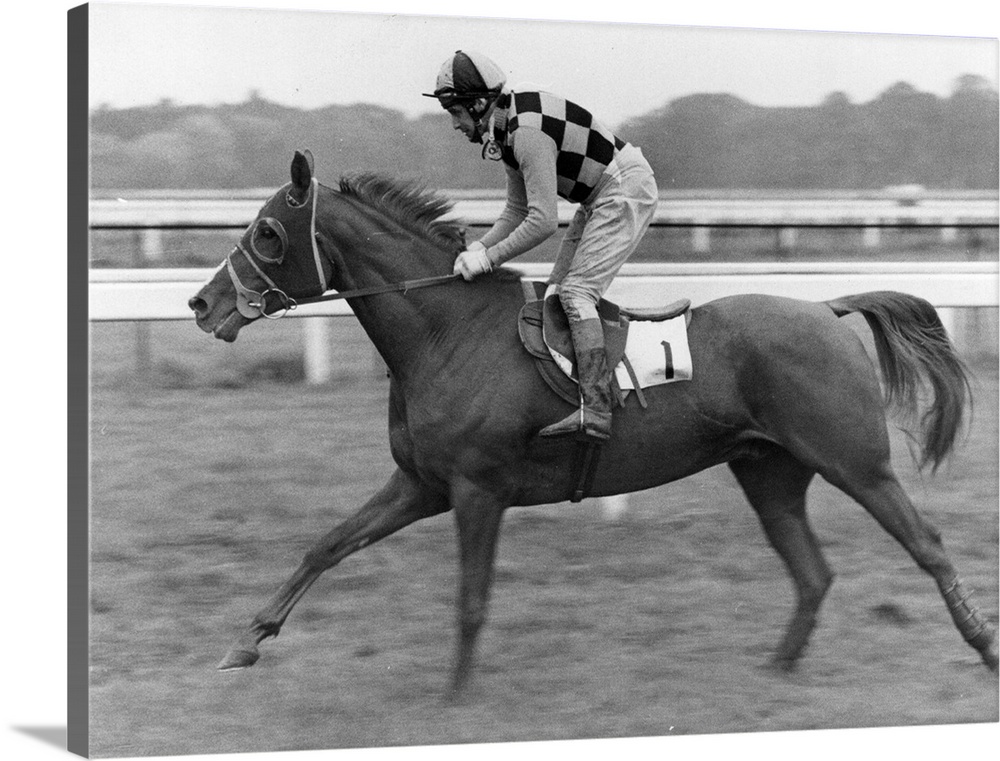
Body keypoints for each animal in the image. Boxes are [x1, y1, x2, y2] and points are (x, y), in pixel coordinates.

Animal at [191, 148, 996, 696]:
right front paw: (244, 643)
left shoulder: (478, 489)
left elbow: (471, 598)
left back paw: (982, 644)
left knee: (925, 543)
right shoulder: (422, 482)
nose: (202, 304)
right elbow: (326, 545)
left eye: (268, 232)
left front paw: (455, 695)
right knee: (813, 572)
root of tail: (826, 308)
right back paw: (777, 667)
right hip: (769, 470)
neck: (448, 332)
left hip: (855, 461)